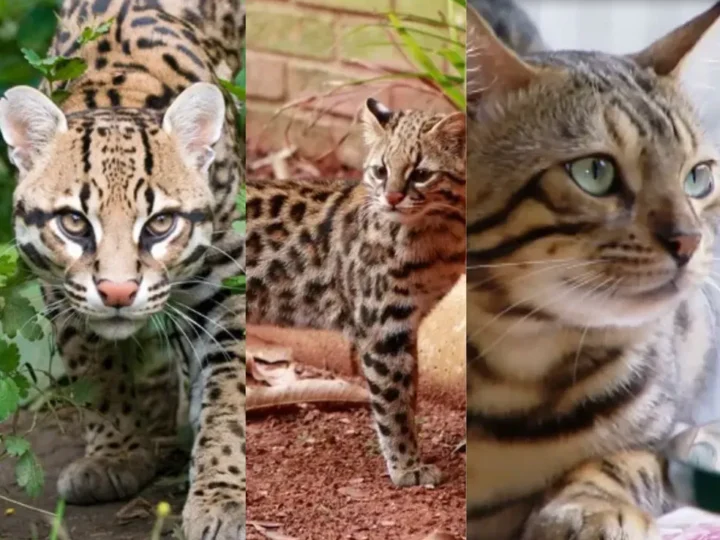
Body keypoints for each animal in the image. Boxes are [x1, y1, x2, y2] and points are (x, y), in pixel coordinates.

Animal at [0, 1, 246, 538]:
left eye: (160, 223)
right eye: (74, 222)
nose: (117, 291)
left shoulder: (227, 282)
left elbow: (229, 392)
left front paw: (221, 495)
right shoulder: (59, 290)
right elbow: (95, 368)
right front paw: (115, 455)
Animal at [246, 98, 466, 487]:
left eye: (421, 173)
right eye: (380, 170)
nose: (392, 198)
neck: (436, 234)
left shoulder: (409, 323)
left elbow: (410, 392)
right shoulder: (381, 328)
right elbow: (392, 401)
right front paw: (407, 466)